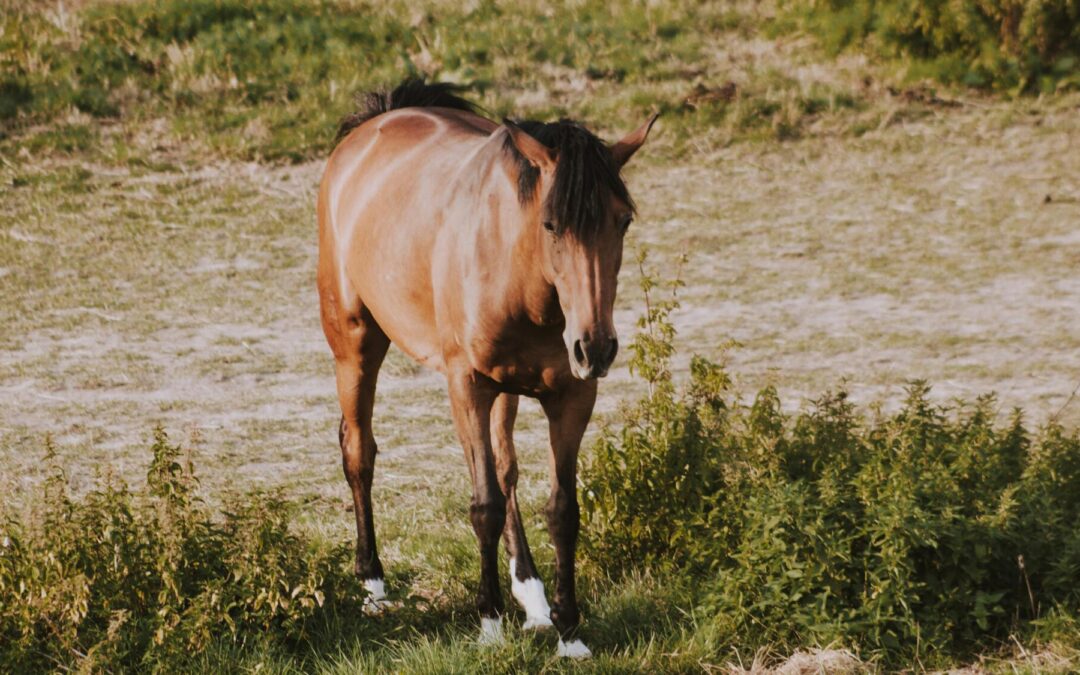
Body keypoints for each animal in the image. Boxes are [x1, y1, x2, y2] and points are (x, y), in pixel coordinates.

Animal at [317, 78, 655, 658]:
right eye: (551, 224)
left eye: (623, 220)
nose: (595, 348)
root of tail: (374, 124)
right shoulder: (469, 385)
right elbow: (485, 507)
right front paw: (490, 623)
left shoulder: (571, 396)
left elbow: (561, 509)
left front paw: (568, 630)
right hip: (355, 343)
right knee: (358, 449)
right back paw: (374, 584)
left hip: (506, 388)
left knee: (504, 467)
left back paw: (532, 597)